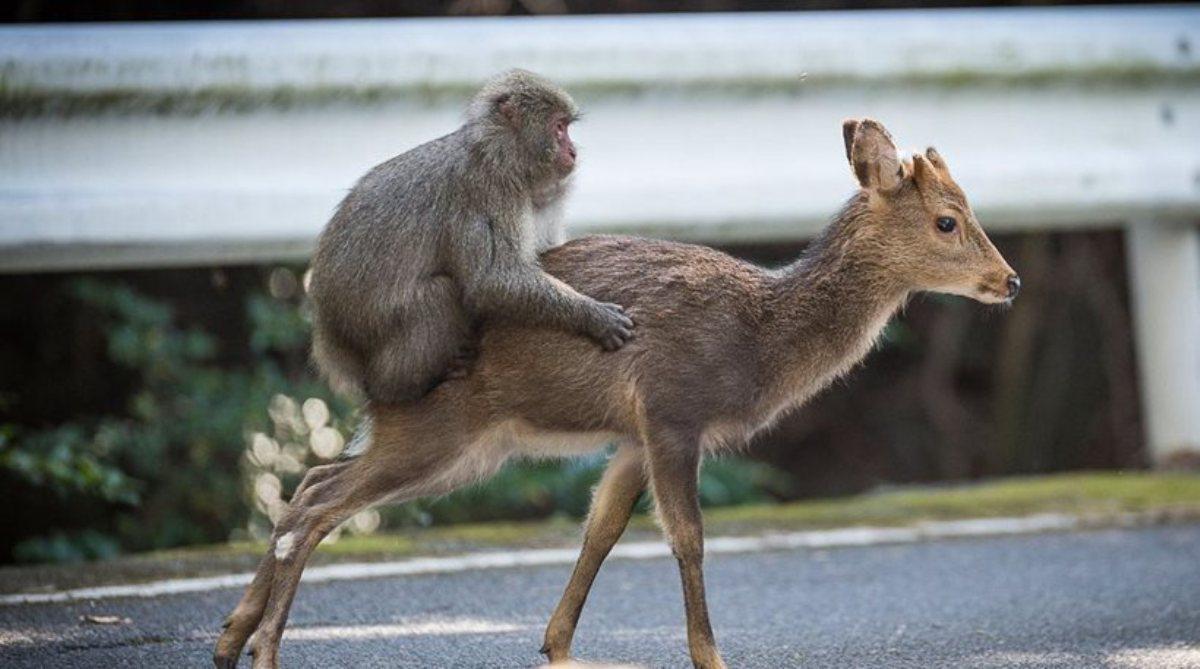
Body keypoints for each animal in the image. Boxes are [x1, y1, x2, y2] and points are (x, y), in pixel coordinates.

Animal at [213, 119, 1012, 669]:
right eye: (947, 220)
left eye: (969, 208)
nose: (1009, 280)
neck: (758, 339)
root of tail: (363, 365)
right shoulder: (672, 407)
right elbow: (687, 535)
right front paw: (711, 655)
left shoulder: (631, 433)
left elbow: (600, 528)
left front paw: (558, 644)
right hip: (441, 427)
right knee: (316, 505)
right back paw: (264, 650)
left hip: (456, 444)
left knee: (311, 480)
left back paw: (230, 637)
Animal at [304, 68, 633, 407]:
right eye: (559, 128)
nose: (573, 151)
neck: (499, 154)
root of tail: (330, 337)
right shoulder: (487, 191)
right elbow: (492, 280)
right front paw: (592, 316)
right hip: (368, 330)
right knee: (438, 294)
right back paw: (399, 387)